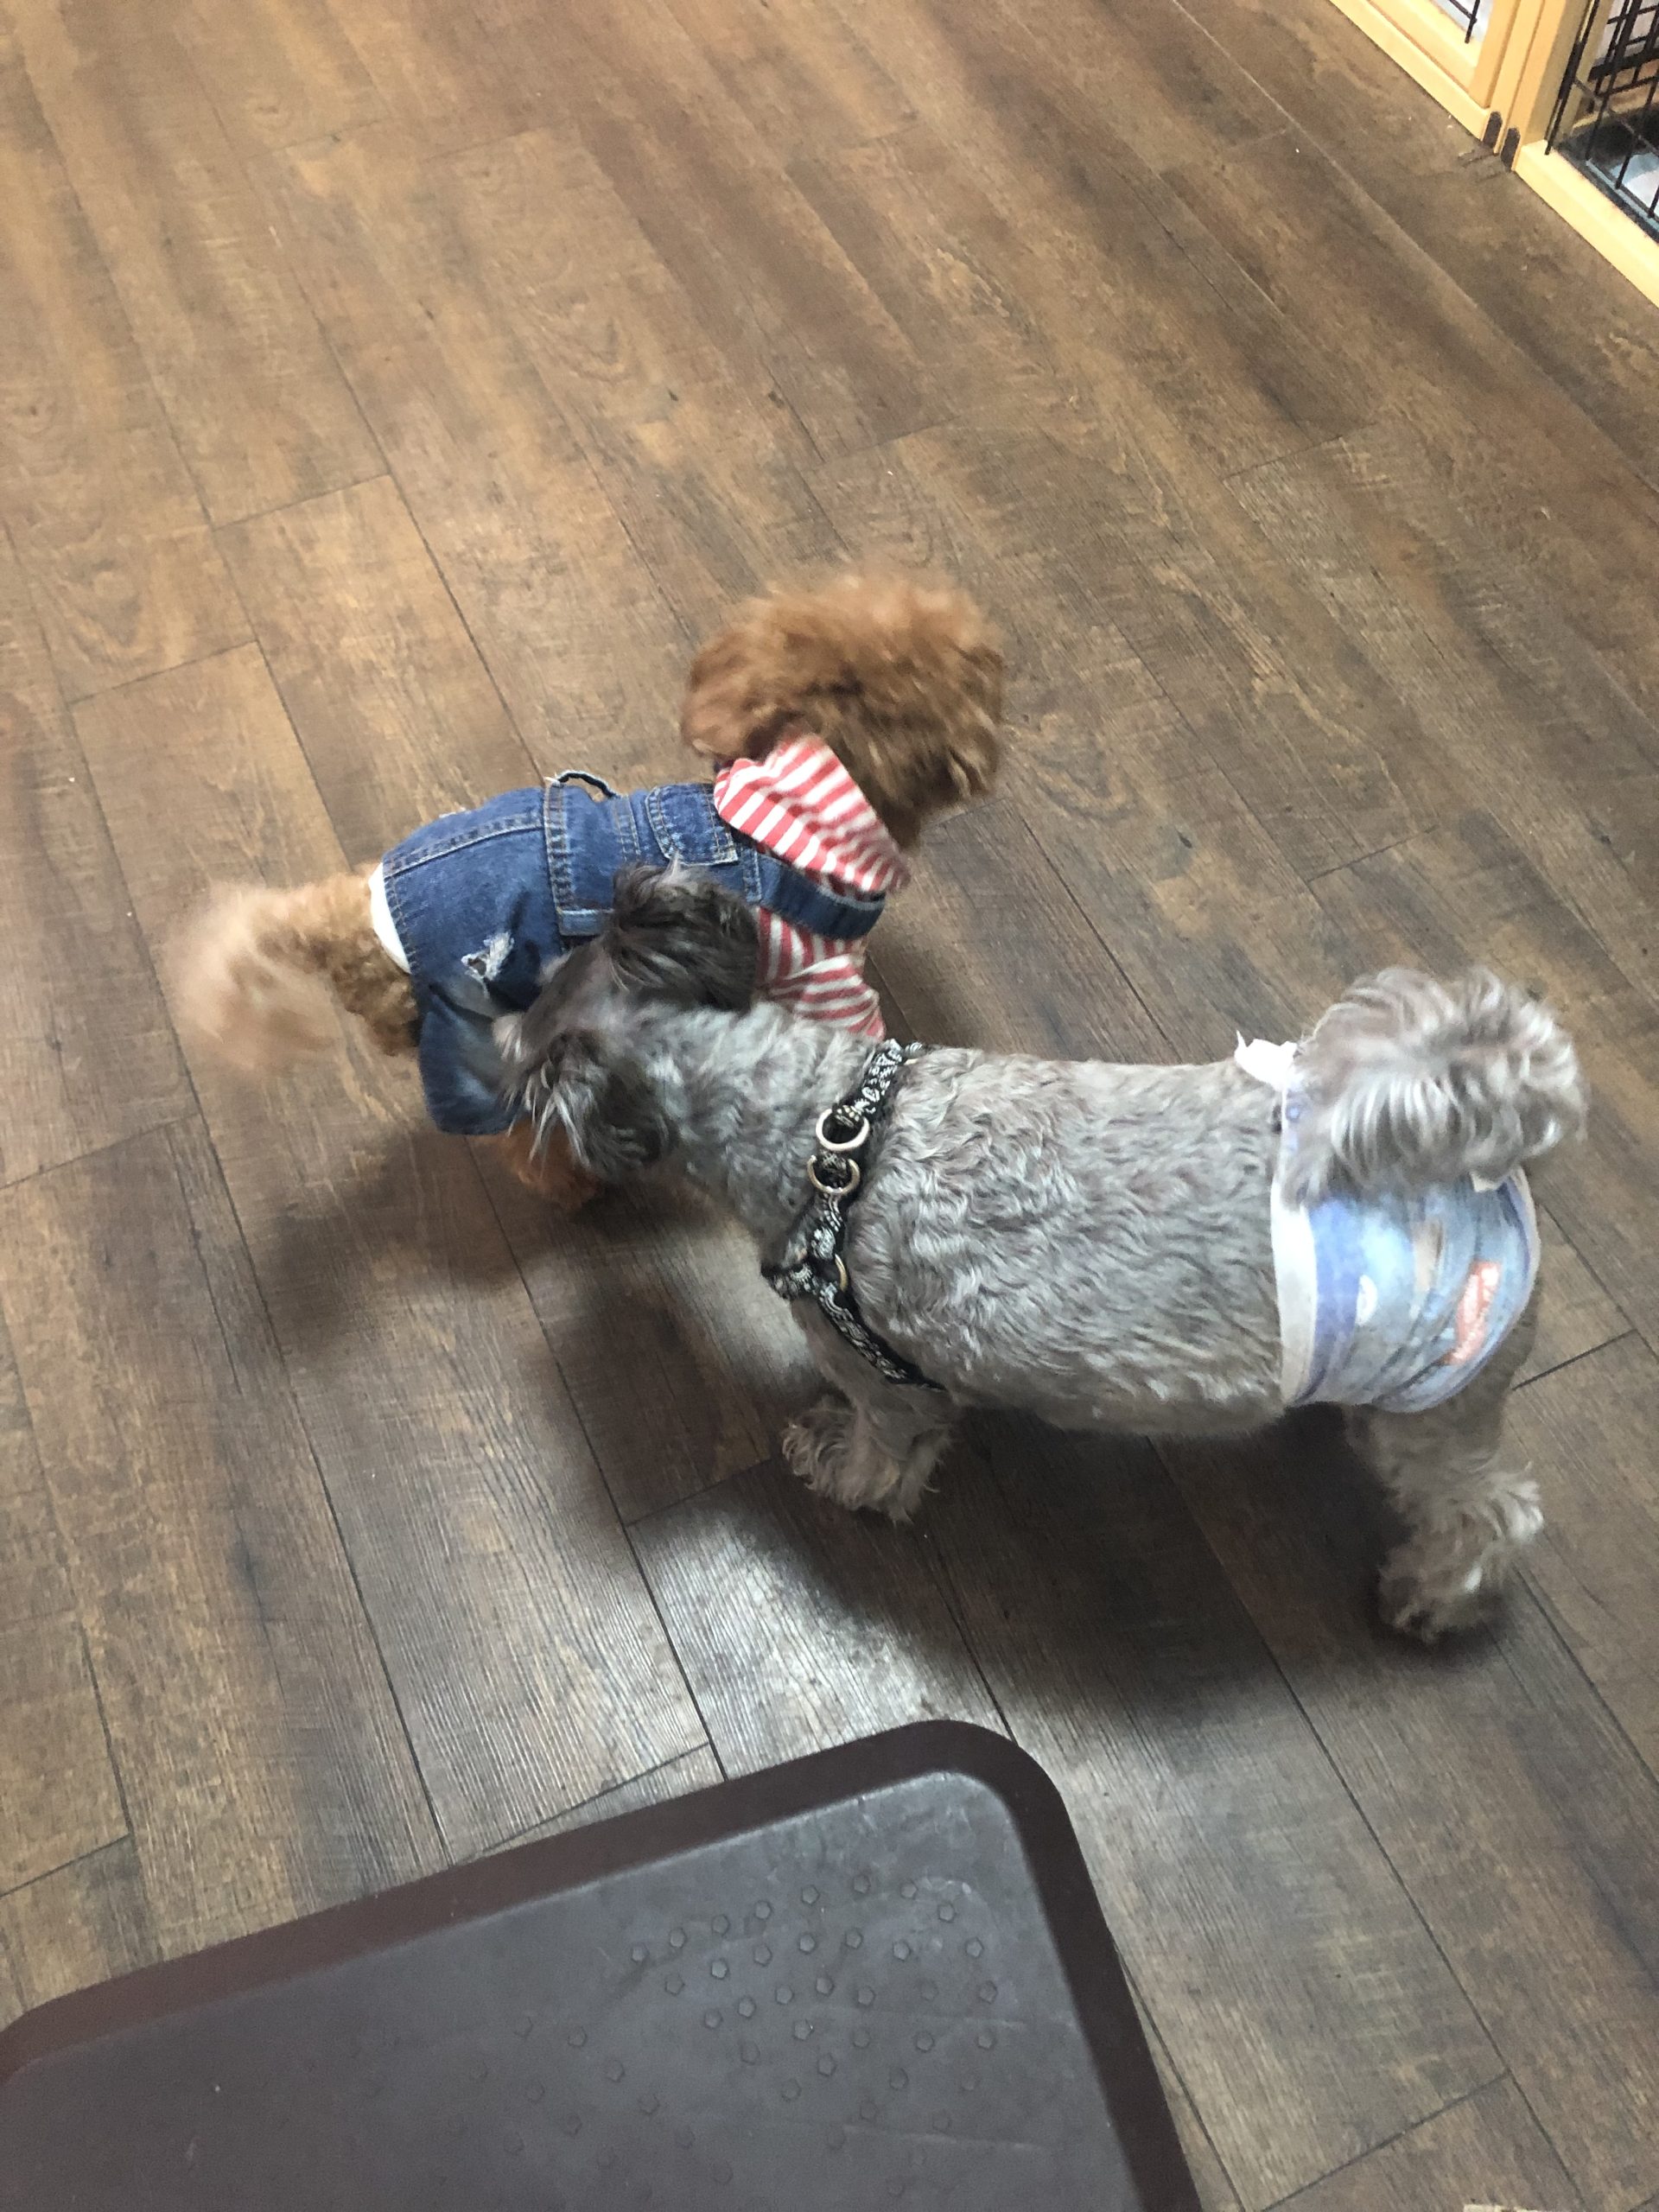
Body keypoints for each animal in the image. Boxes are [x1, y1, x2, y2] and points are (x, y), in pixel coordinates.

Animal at [170, 572, 1003, 1207]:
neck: (794, 817)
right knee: (518, 1135)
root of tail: (345, 918)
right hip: (471, 1026)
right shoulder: (824, 981)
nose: (991, 640)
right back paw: (578, 1184)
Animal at [496, 868, 1586, 1641]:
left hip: (1437, 1406)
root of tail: (1494, 1175)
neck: (822, 1129)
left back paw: (1431, 1597)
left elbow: (878, 1456)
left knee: (1493, 1514)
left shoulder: (886, 1385)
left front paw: (832, 1464)